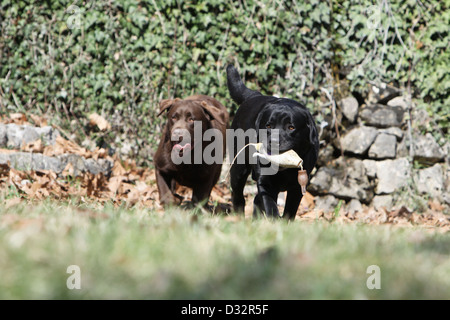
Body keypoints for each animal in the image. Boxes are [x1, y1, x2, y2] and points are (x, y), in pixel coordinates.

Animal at [227, 65, 318, 220]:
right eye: (268, 126)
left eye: (291, 127)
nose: (274, 141)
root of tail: (254, 95)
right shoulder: (266, 182)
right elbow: (270, 205)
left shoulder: (298, 187)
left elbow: (289, 212)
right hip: (238, 167)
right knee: (238, 195)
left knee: (256, 200)